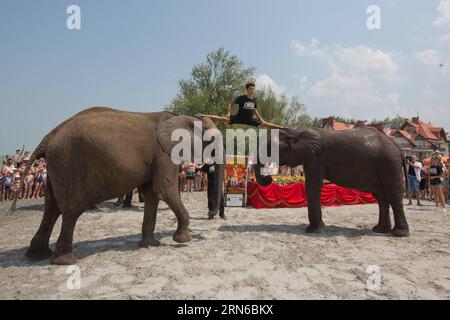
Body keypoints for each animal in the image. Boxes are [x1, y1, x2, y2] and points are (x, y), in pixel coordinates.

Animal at [11, 107, 225, 264]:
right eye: (210, 140)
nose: (212, 214)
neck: (184, 117)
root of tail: (51, 135)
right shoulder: (164, 154)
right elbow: (165, 189)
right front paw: (183, 240)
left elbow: (152, 194)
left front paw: (151, 245)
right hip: (70, 163)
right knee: (71, 210)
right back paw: (66, 261)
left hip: (58, 166)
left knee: (51, 208)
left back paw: (36, 256)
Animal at [255, 127, 410, 238]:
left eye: (270, 149)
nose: (268, 179)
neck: (295, 132)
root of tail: (399, 149)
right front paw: (320, 227)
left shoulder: (316, 157)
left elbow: (313, 185)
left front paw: (311, 230)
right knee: (381, 198)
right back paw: (379, 230)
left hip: (389, 163)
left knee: (393, 195)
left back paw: (399, 234)